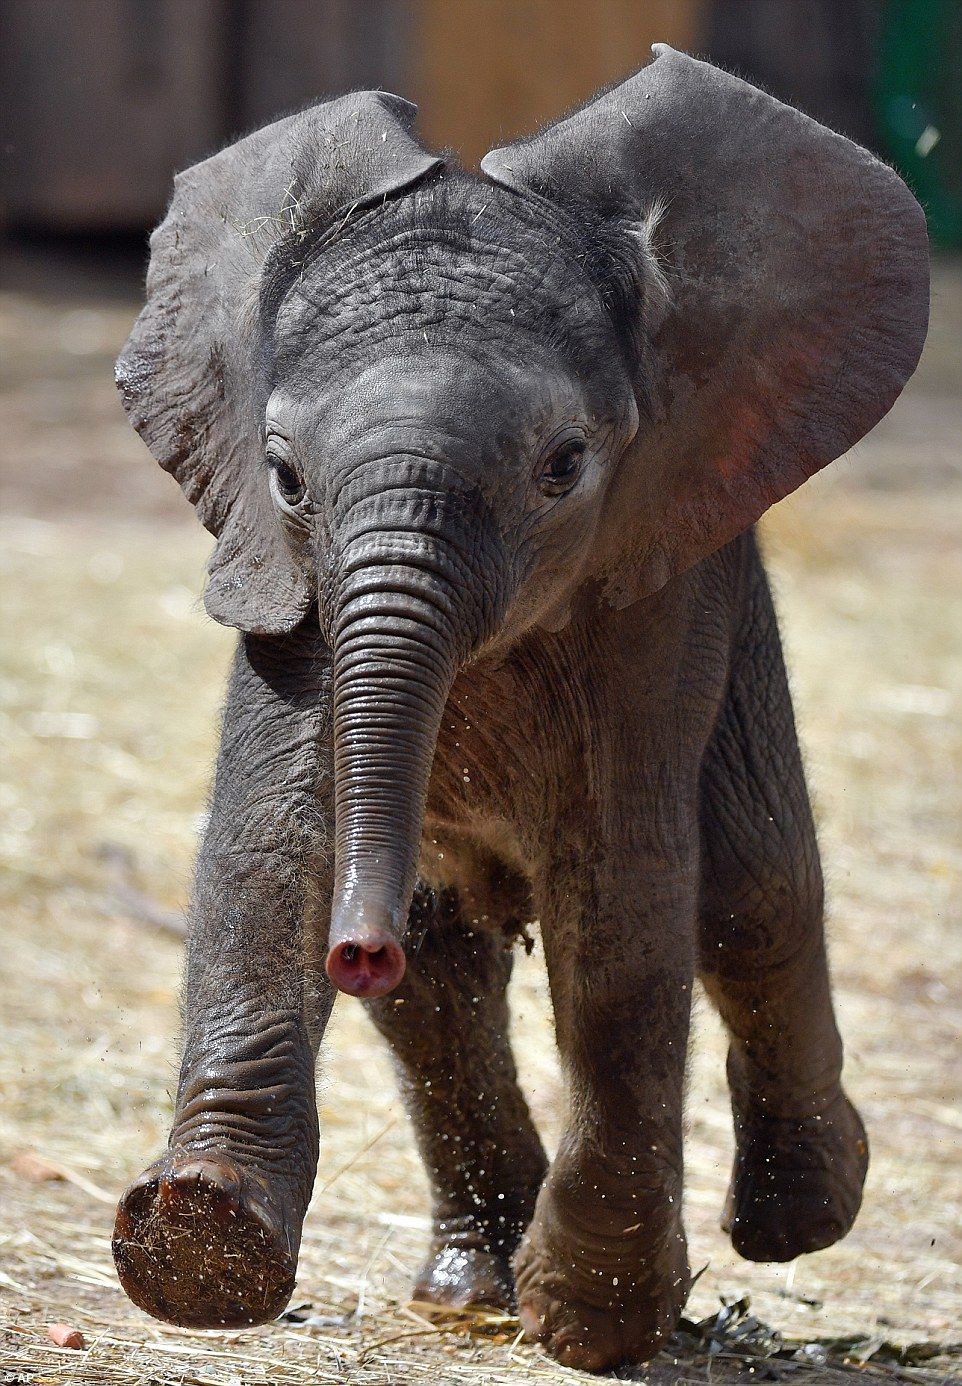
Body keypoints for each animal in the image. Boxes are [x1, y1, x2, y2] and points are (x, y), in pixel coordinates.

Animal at [110, 46, 928, 1372]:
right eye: (283, 475)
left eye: (563, 468)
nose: (358, 945)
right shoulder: (279, 581)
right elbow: (271, 848)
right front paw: (199, 1245)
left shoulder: (657, 583)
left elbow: (620, 901)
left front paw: (594, 1323)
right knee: (442, 983)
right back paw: (466, 1288)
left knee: (751, 890)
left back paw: (792, 1219)